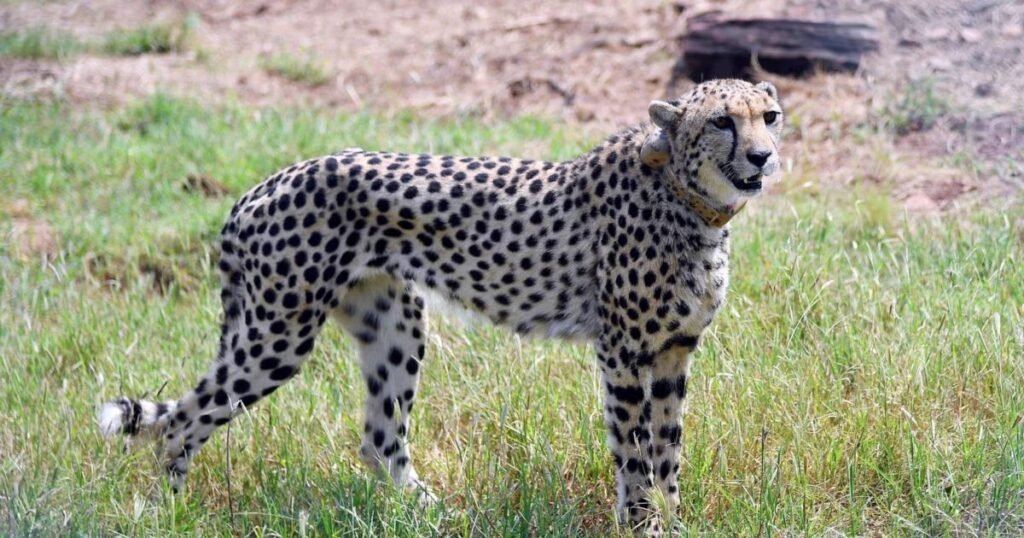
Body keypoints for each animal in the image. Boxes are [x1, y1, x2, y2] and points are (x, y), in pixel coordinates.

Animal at [98, 78, 783, 532]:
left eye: (770, 116)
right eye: (722, 122)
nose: (763, 155)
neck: (691, 201)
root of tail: (261, 186)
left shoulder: (673, 352)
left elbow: (668, 450)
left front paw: (676, 519)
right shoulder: (622, 352)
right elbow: (634, 452)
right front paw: (644, 524)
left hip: (394, 324)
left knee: (379, 438)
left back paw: (432, 513)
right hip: (277, 335)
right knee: (184, 420)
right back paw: (169, 511)